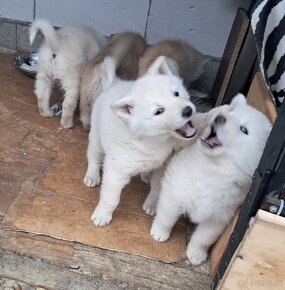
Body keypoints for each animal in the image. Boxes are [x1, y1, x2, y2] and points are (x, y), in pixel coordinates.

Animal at [83, 55, 196, 227]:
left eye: (176, 93)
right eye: (158, 111)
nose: (188, 110)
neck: (154, 140)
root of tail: (114, 84)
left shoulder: (163, 166)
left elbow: (157, 189)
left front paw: (152, 204)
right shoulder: (117, 169)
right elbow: (110, 198)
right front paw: (102, 215)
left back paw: (145, 175)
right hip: (96, 135)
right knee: (94, 156)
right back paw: (92, 176)